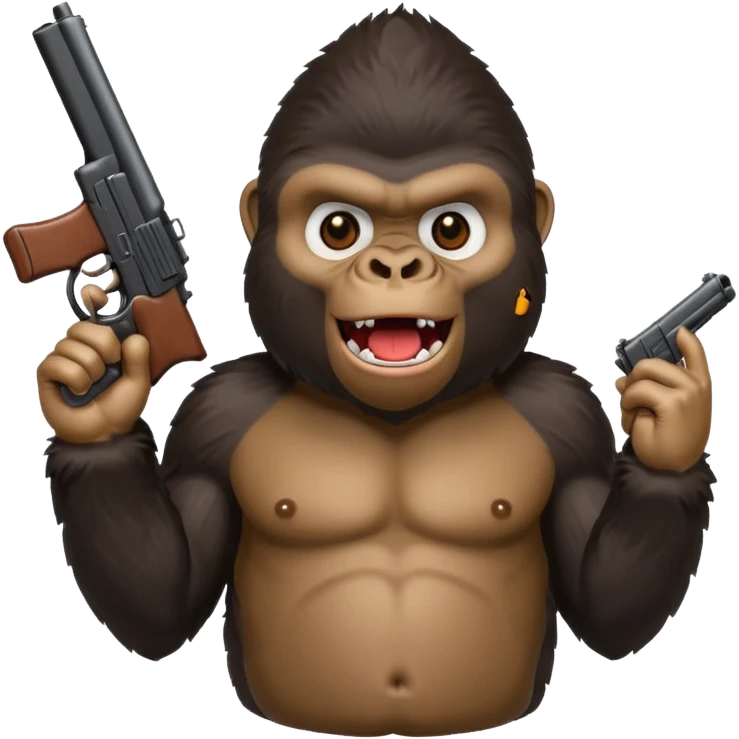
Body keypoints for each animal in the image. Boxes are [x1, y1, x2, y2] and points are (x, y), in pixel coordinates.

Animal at [36, 7, 715, 737]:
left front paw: (670, 422)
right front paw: (93, 400)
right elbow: (166, 602)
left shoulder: (566, 417)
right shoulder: (213, 418)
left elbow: (606, 609)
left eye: (451, 229)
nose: (394, 265)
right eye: (338, 229)